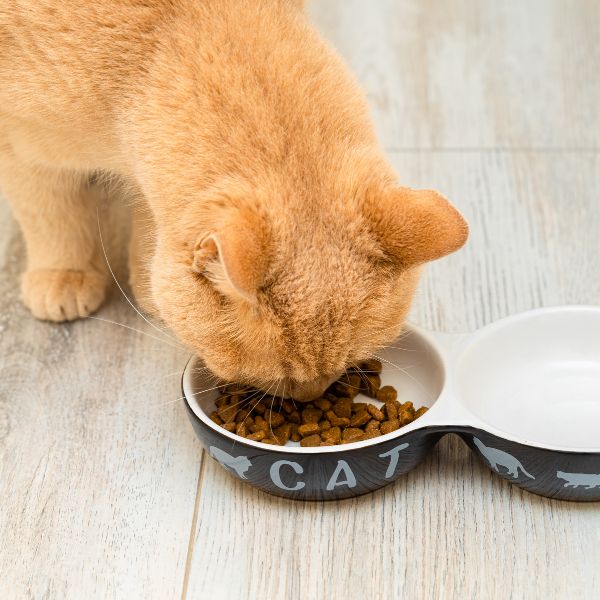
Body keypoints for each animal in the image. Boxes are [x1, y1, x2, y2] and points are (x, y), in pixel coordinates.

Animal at [0, 4, 466, 400]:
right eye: (283, 376)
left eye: (347, 364)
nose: (310, 395)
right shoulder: (22, 146)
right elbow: (52, 216)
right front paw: (64, 273)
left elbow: (146, 219)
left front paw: (146, 282)